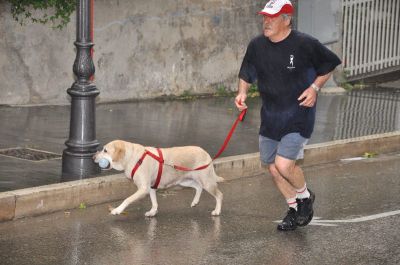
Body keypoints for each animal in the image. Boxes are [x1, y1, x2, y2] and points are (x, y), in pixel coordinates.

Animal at [94, 139, 225, 216]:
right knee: (198, 187)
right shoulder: (151, 187)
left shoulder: (143, 188)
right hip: (184, 181)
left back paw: (217, 211)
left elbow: (127, 199)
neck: (133, 158)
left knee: (219, 195)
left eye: (105, 150)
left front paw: (117, 210)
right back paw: (195, 202)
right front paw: (153, 212)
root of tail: (206, 153)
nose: (93, 157)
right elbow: (154, 202)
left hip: (207, 181)